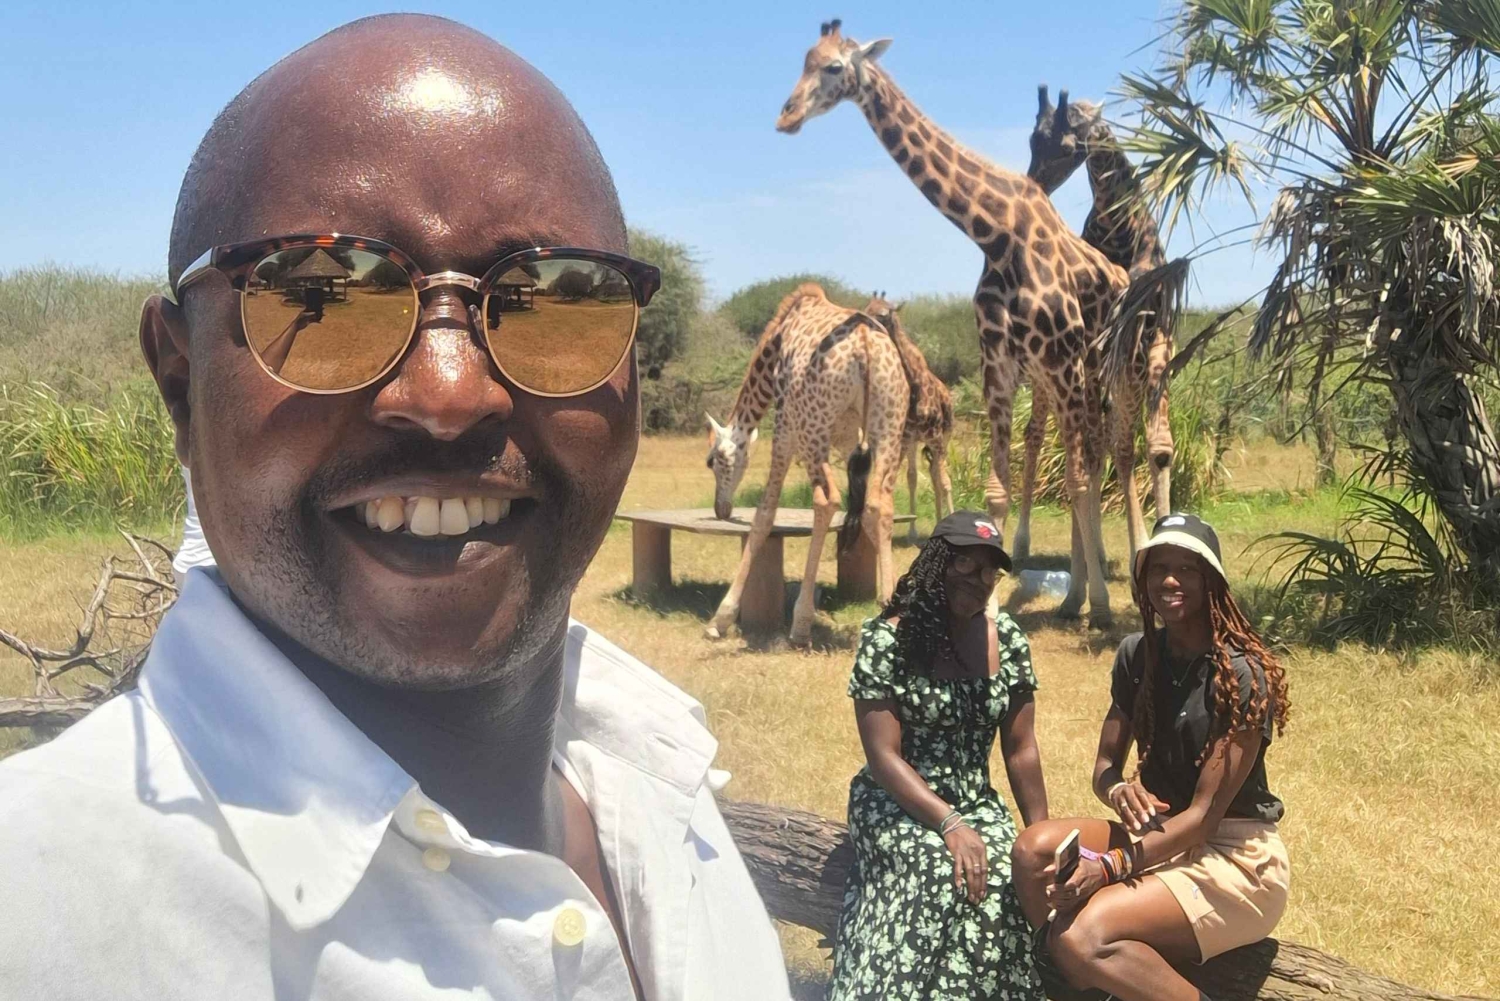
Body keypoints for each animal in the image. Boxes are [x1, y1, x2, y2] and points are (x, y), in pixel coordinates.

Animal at [705, 283, 910, 645]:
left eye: (714, 461)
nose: (721, 509)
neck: (775, 343)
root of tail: (865, 343)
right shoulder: (851, 442)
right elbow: (863, 514)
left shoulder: (785, 428)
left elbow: (764, 516)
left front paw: (722, 618)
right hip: (889, 428)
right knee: (880, 506)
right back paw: (889, 615)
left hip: (814, 430)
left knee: (826, 500)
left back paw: (800, 625)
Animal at [862, 292, 955, 542]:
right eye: (866, 308)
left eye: (883, 314)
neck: (916, 386)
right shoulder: (905, 438)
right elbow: (905, 480)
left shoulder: (936, 437)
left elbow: (945, 482)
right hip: (915, 442)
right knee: (917, 476)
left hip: (943, 438)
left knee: (937, 477)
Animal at [1027, 85, 1180, 564]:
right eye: (1032, 140)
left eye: (1066, 147)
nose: (1034, 184)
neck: (1121, 228)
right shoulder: (1099, 345)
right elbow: (1115, 448)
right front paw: (1125, 546)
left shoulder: (1156, 335)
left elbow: (1158, 449)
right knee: (1065, 436)